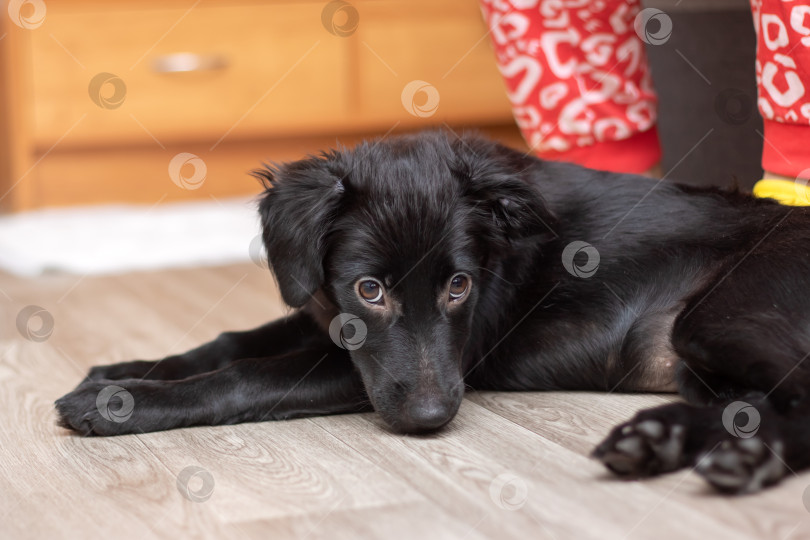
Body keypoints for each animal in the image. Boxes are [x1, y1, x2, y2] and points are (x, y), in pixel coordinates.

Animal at [58, 131, 810, 494]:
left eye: (459, 287)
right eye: (369, 290)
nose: (429, 418)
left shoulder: (388, 365)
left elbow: (245, 375)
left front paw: (121, 404)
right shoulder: (328, 317)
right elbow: (229, 341)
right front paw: (120, 373)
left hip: (715, 320)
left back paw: (738, 459)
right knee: (752, 406)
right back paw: (664, 441)